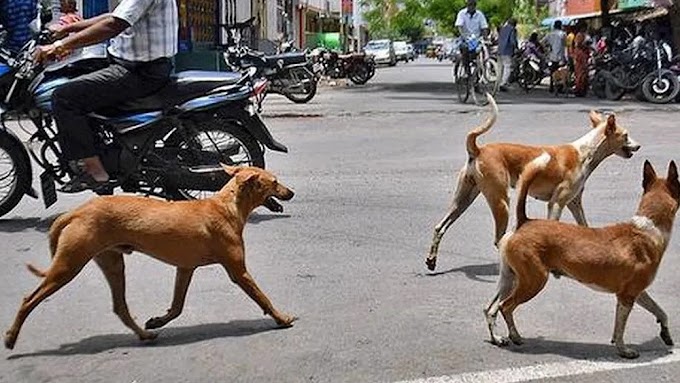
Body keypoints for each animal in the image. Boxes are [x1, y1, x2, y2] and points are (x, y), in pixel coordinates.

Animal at [4, 165, 298, 352]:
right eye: (274, 181)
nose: (291, 192)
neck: (227, 206)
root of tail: (76, 211)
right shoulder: (238, 271)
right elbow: (262, 297)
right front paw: (281, 318)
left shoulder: (185, 268)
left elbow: (177, 306)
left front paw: (158, 320)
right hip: (68, 266)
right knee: (28, 300)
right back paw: (10, 337)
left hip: (112, 263)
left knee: (120, 307)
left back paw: (144, 334)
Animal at [428, 94, 640, 272]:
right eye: (626, 135)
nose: (638, 146)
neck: (585, 152)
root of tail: (478, 150)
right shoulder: (556, 203)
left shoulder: (574, 203)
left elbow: (585, 226)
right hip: (501, 201)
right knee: (499, 239)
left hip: (464, 199)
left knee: (440, 226)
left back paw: (431, 260)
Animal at [484, 156, 680, 360]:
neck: (648, 227)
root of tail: (525, 222)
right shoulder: (627, 297)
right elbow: (620, 328)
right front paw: (623, 350)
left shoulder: (637, 293)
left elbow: (660, 311)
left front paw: (666, 333)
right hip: (533, 282)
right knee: (506, 307)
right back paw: (515, 336)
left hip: (509, 279)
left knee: (491, 308)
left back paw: (497, 338)